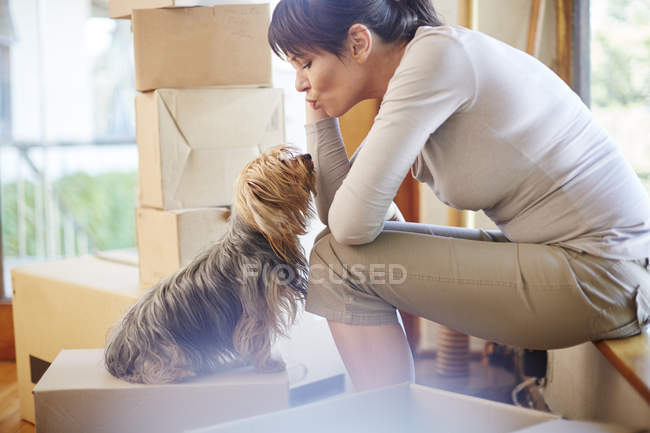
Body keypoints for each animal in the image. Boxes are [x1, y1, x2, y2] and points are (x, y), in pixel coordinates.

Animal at [104, 145, 316, 382]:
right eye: (283, 163)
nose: (308, 155)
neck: (258, 237)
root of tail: (116, 349)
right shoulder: (256, 309)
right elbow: (257, 336)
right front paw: (268, 363)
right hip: (166, 350)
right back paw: (181, 372)